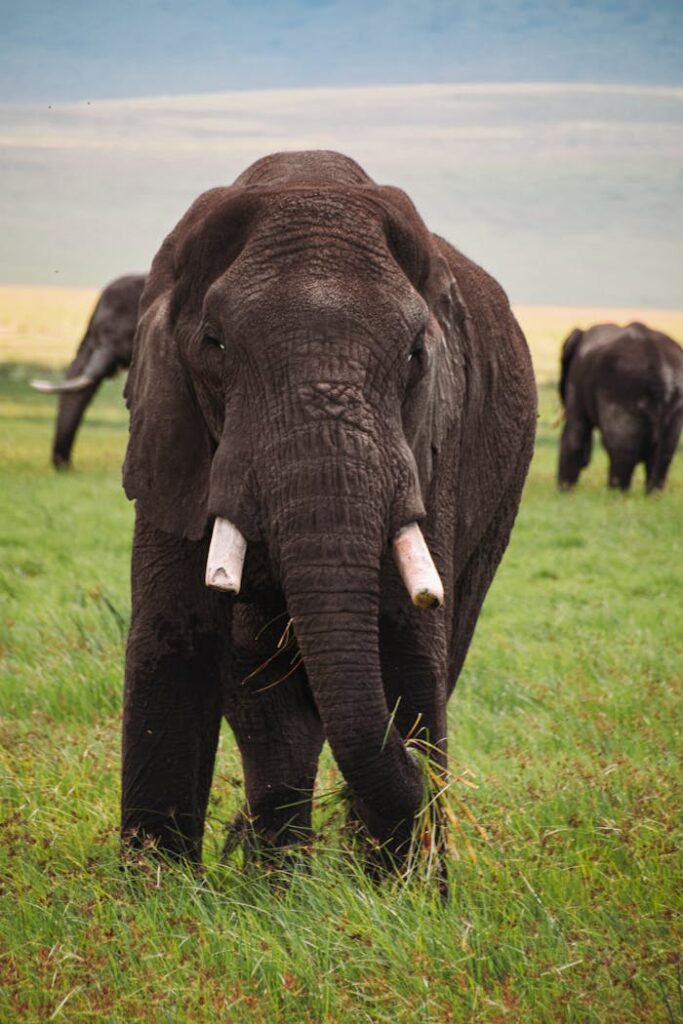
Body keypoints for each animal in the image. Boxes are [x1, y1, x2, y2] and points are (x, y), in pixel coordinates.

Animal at [120, 150, 536, 869]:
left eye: (416, 354)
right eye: (214, 345)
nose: (423, 771)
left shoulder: (435, 442)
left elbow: (406, 648)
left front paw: (403, 886)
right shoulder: (171, 429)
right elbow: (172, 643)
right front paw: (153, 887)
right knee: (268, 704)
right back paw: (274, 871)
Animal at [558, 322, 683, 492]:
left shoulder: (576, 379)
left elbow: (574, 435)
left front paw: (564, 493)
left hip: (623, 392)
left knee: (621, 451)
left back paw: (615, 494)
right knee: (664, 453)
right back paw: (651, 495)